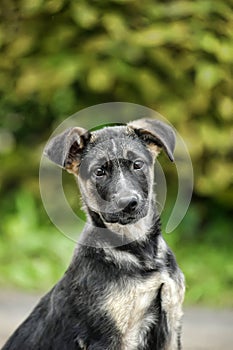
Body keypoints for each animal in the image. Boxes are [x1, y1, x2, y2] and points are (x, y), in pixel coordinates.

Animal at [1, 118, 184, 350]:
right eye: (99, 172)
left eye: (137, 164)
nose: (128, 203)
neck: (139, 253)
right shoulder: (108, 337)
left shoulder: (171, 326)